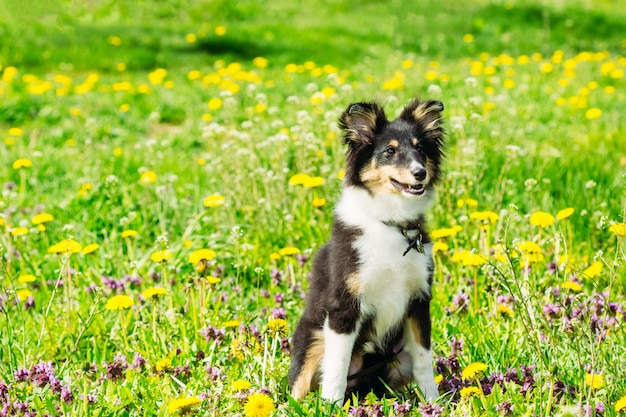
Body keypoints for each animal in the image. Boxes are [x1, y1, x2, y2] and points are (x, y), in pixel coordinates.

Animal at [288, 98, 444, 404]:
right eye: (390, 151)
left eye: (420, 148)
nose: (420, 173)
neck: (391, 223)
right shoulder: (344, 306)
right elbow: (336, 367)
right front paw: (331, 406)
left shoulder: (419, 301)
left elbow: (425, 362)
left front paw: (433, 402)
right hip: (313, 338)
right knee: (299, 386)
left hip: (398, 359)